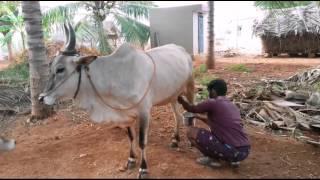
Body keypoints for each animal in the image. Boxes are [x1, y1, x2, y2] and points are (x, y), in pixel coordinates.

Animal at [38, 22, 194, 179]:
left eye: (60, 69)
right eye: (50, 67)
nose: (41, 98)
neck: (116, 74)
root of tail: (181, 50)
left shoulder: (144, 111)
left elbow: (142, 141)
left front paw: (143, 168)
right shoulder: (125, 113)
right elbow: (131, 137)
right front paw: (131, 159)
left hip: (190, 89)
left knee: (191, 113)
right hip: (173, 96)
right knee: (177, 116)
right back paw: (175, 140)